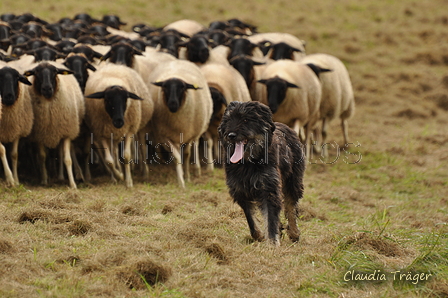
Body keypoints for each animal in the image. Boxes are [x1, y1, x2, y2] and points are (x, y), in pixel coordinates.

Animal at [217, 101, 304, 246]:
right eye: (228, 120)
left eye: (246, 120)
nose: (231, 135)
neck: (248, 163)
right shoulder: (240, 191)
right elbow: (251, 218)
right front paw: (259, 236)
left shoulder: (269, 188)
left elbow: (271, 219)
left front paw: (272, 244)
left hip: (293, 180)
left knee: (291, 205)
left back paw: (294, 233)